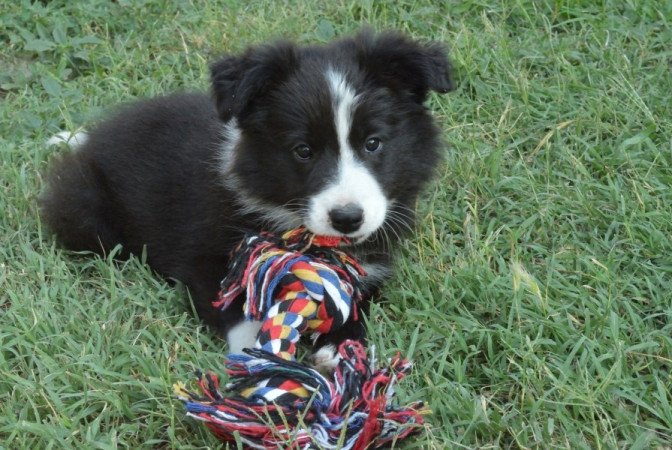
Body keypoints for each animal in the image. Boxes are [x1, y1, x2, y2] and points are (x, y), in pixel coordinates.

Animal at [39, 28, 454, 368]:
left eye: (373, 143)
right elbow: (237, 302)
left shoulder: (373, 261)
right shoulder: (205, 253)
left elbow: (353, 295)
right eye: (303, 150)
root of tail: (92, 140)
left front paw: (340, 346)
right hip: (86, 210)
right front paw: (261, 353)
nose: (347, 218)